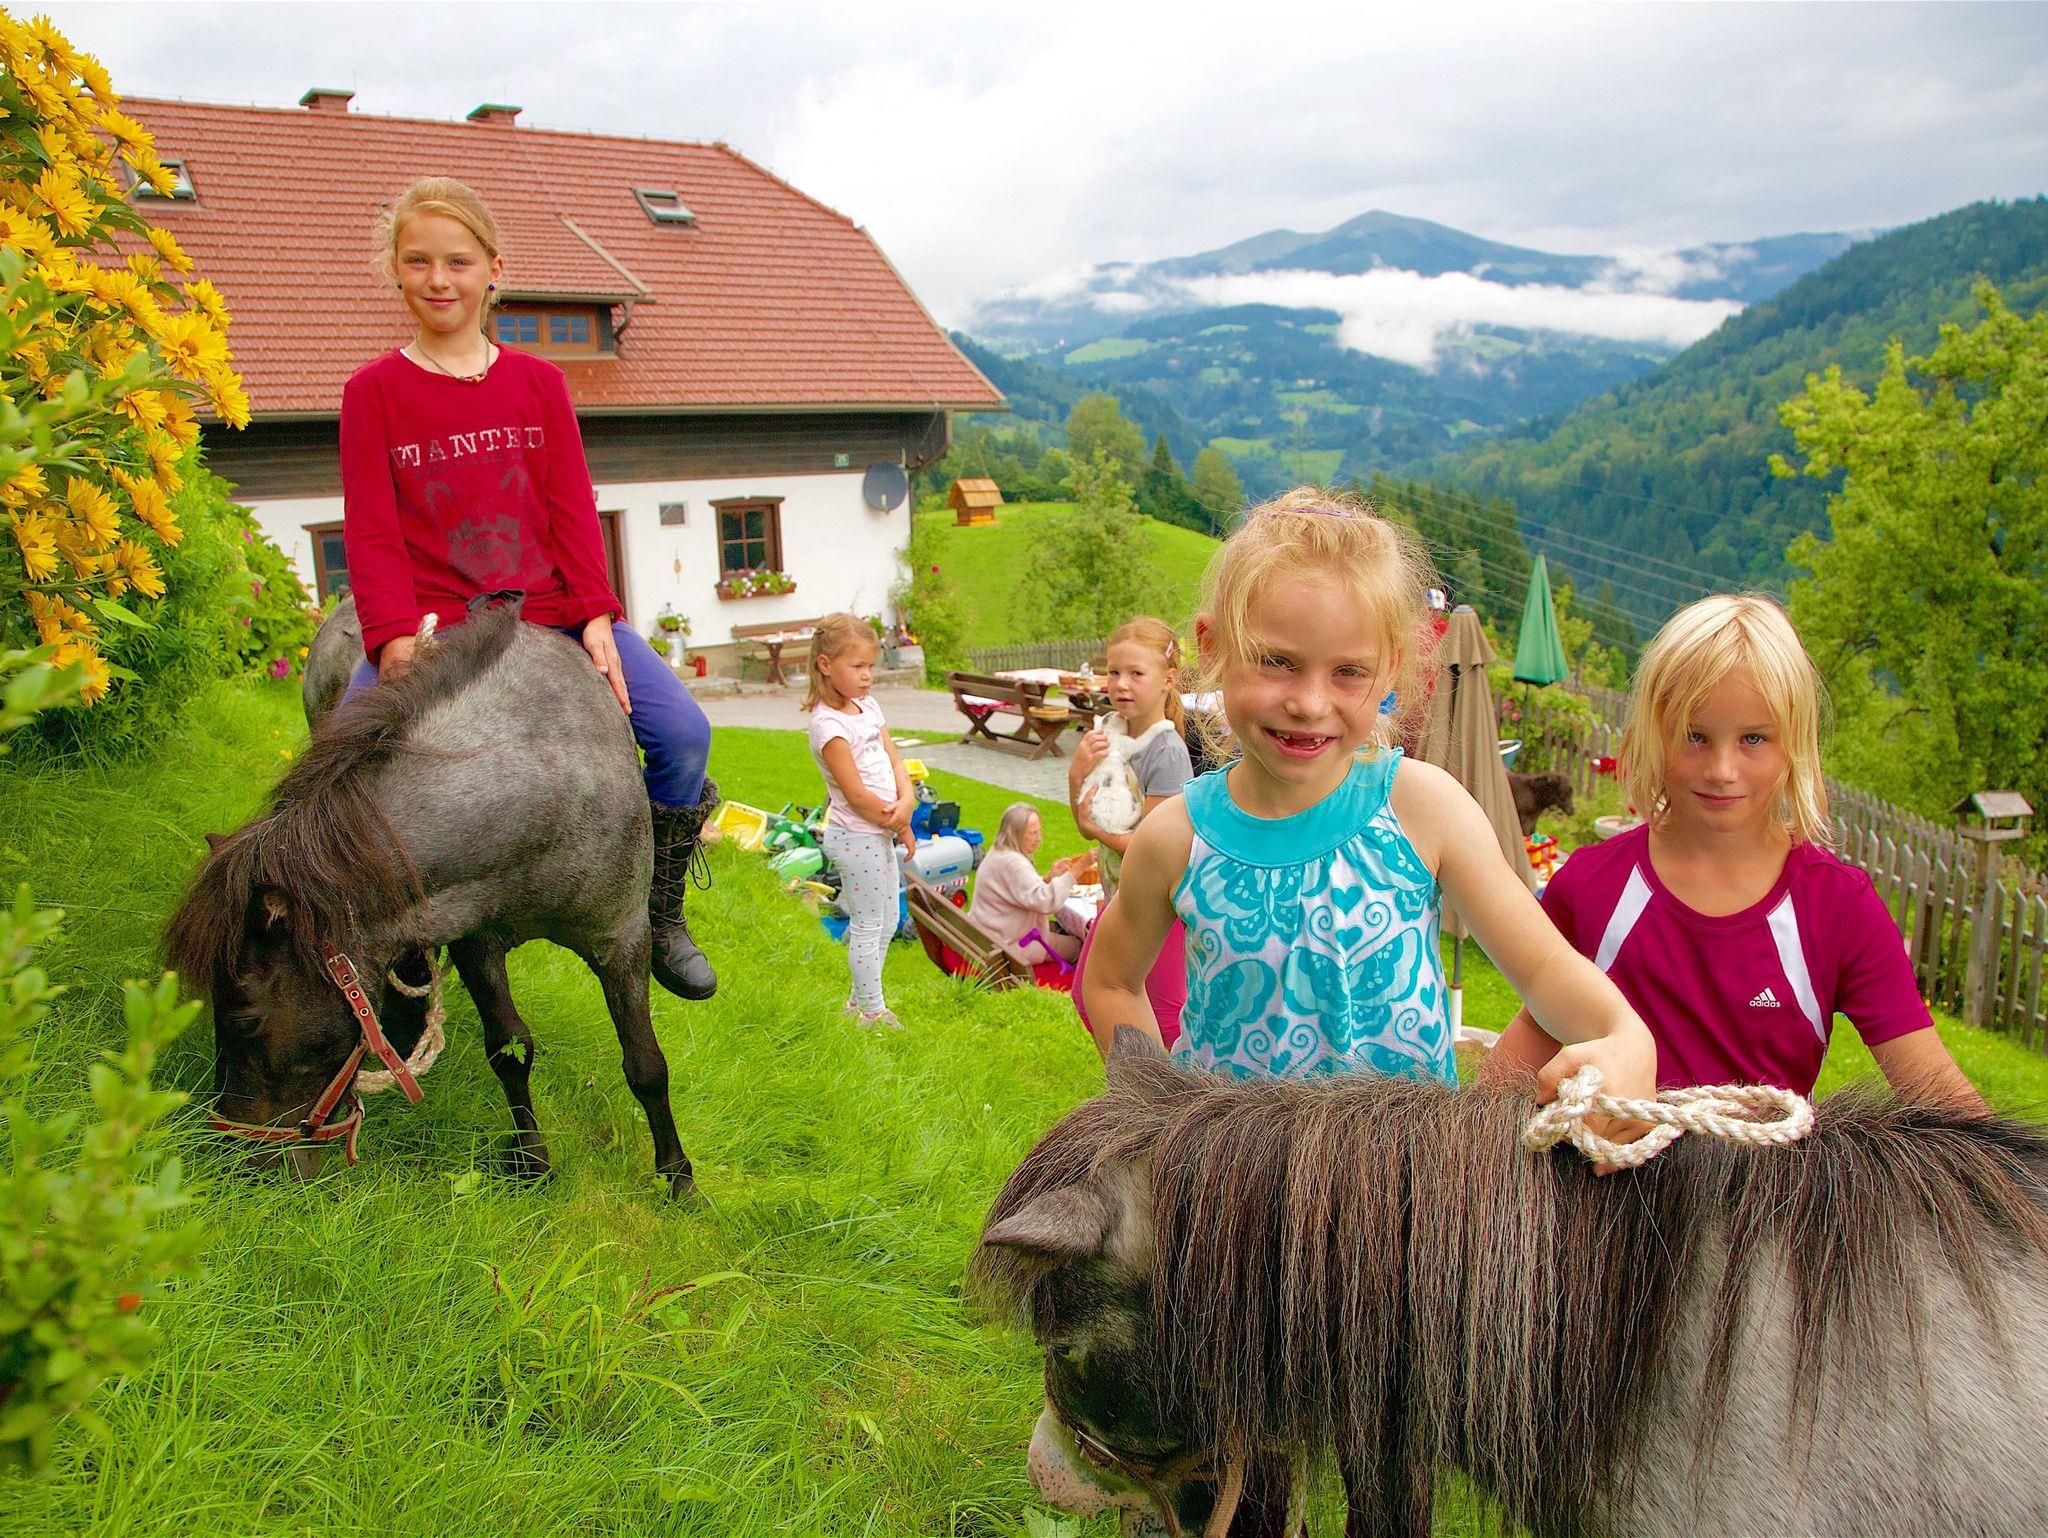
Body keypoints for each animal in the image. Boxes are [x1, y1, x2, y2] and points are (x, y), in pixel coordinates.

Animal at [165, 595, 695, 1196]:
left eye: (243, 1020)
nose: (241, 1167)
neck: (545, 779)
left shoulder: (621, 942)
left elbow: (646, 1065)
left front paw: (679, 1182)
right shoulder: (474, 939)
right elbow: (509, 1050)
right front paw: (533, 1163)